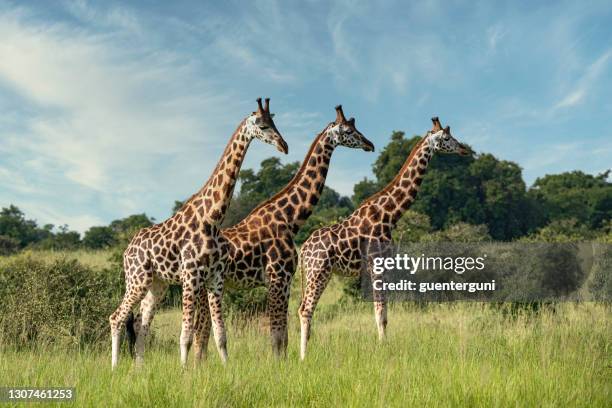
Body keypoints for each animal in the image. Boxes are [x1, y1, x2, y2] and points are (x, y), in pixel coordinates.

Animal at [109, 97, 288, 368]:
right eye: (262, 125)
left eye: (274, 122)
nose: (284, 146)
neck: (212, 219)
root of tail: (127, 250)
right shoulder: (190, 275)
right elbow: (186, 335)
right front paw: (184, 371)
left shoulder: (215, 278)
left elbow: (220, 333)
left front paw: (226, 368)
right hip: (137, 279)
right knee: (116, 317)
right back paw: (114, 367)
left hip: (157, 284)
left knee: (142, 326)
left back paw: (138, 369)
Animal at [192, 105, 372, 356]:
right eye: (348, 130)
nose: (369, 144)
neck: (290, 218)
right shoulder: (278, 278)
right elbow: (276, 337)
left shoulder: (285, 282)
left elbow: (283, 338)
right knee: (199, 336)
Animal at [298, 116, 470, 358]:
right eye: (446, 138)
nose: (464, 149)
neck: (389, 214)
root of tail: (303, 250)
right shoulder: (376, 264)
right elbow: (379, 312)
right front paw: (382, 351)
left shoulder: (385, 265)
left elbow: (385, 314)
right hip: (317, 271)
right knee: (305, 309)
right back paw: (303, 358)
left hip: (319, 273)